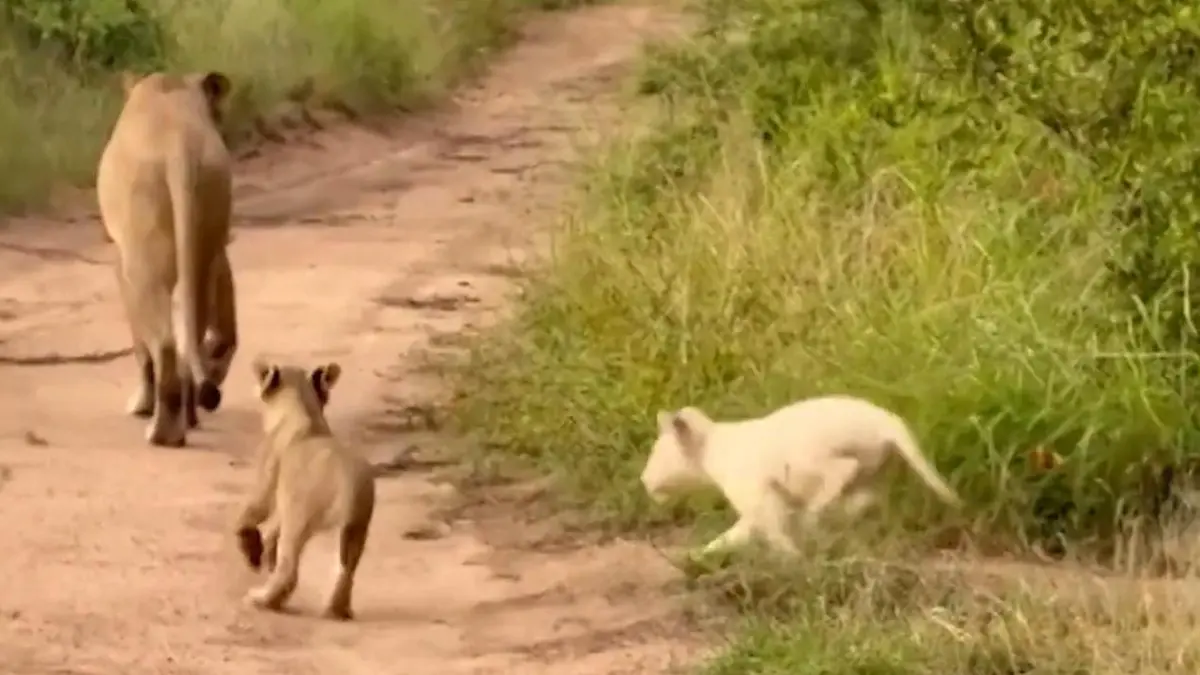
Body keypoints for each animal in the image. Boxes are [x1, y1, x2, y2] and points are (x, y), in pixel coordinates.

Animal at [96, 70, 239, 447]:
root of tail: (179, 146)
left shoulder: (121, 260)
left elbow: (139, 341)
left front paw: (140, 405)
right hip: (205, 227)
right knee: (192, 333)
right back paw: (189, 417)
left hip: (143, 254)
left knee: (165, 343)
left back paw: (163, 431)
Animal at [234, 358, 376, 621]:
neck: (302, 408)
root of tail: (349, 484)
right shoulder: (285, 496)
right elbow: (272, 528)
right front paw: (265, 552)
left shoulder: (267, 483)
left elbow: (249, 513)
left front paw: (252, 552)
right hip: (356, 528)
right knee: (346, 570)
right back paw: (337, 610)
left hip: (299, 519)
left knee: (289, 569)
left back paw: (262, 600)